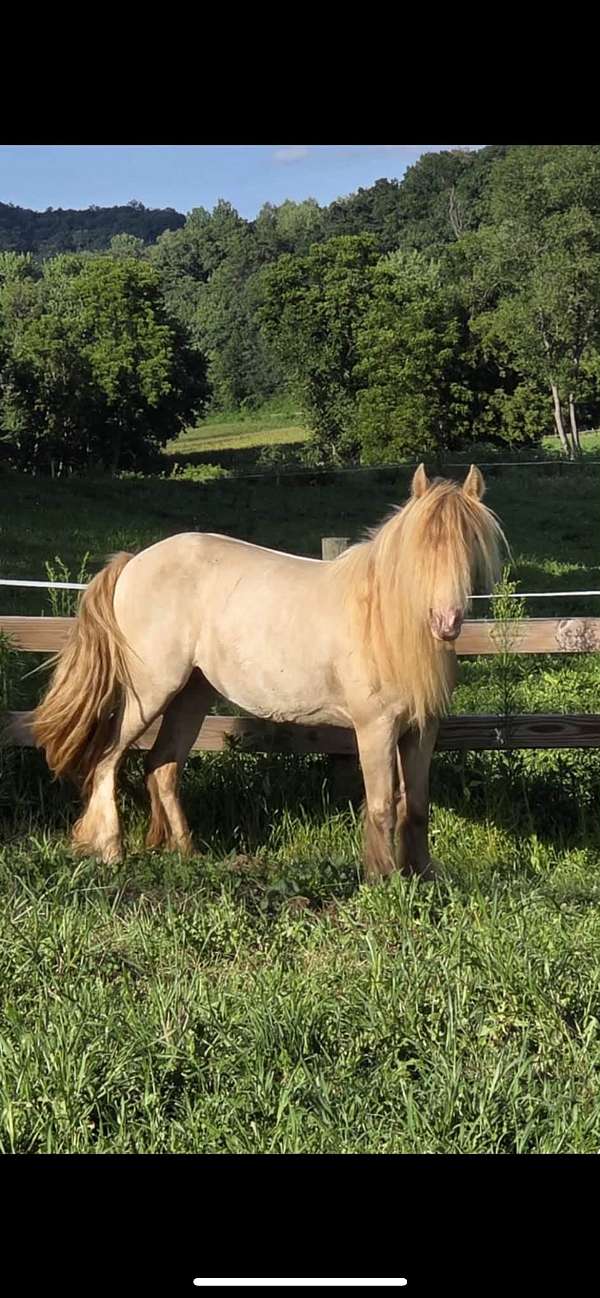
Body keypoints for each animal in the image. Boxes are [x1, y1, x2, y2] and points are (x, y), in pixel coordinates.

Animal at [33, 463, 505, 880]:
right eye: (420, 550)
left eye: (469, 543)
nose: (446, 622)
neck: (384, 621)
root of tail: (133, 563)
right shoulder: (375, 727)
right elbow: (382, 806)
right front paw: (383, 880)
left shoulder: (422, 730)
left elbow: (417, 806)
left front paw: (421, 874)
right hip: (149, 694)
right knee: (108, 759)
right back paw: (111, 851)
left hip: (192, 695)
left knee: (162, 765)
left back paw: (188, 853)